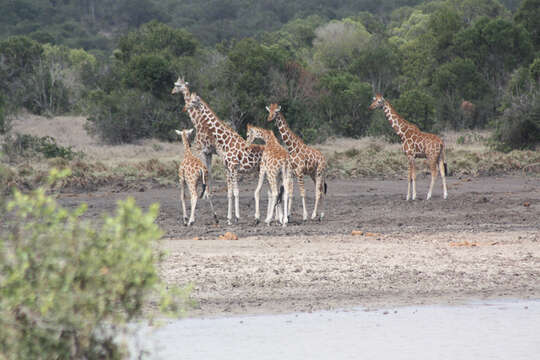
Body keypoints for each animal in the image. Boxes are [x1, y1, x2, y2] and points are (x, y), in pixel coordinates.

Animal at [184, 91, 264, 224]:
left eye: (194, 101)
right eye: (189, 99)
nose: (185, 108)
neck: (226, 141)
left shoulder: (234, 168)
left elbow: (236, 192)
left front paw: (237, 217)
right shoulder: (228, 169)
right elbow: (229, 193)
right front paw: (229, 219)